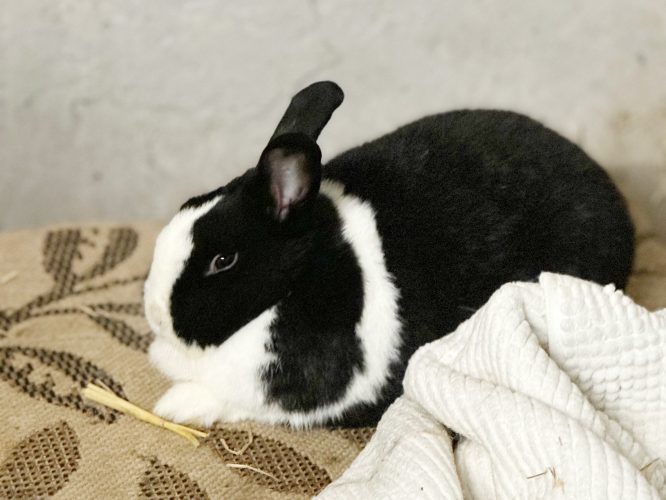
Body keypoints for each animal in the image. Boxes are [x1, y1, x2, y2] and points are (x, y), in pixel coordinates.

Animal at [144, 81, 634, 428]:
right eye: (188, 203)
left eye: (222, 261)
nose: (153, 314)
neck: (297, 278)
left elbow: (235, 400)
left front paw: (175, 406)